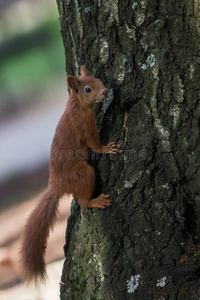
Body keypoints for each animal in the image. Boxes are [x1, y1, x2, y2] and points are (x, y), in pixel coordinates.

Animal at [20, 65, 120, 284]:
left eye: (98, 79)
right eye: (88, 89)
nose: (105, 92)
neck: (77, 107)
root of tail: (57, 186)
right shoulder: (85, 127)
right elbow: (95, 144)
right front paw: (107, 148)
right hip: (84, 173)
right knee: (82, 201)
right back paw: (95, 201)